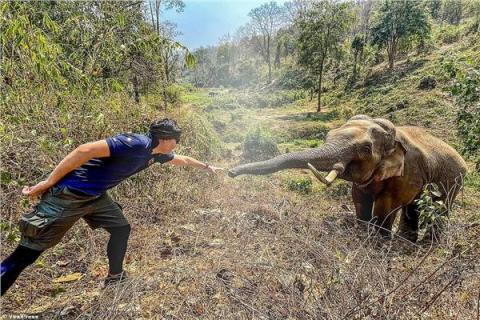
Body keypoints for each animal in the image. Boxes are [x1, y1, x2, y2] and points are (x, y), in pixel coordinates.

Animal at [229, 114, 468, 241]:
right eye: (328, 136)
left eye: (365, 149)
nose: (230, 172)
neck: (392, 136)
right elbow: (359, 198)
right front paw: (362, 232)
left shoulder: (407, 172)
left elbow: (387, 204)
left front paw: (378, 243)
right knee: (415, 207)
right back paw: (407, 241)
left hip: (454, 179)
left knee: (441, 207)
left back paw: (425, 244)